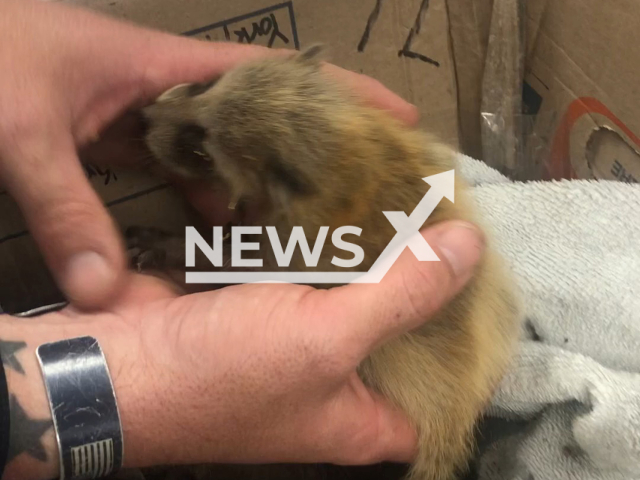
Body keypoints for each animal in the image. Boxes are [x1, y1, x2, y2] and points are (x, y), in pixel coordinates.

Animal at [131, 46, 524, 480]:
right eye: (205, 84)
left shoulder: (295, 244)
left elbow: (237, 259)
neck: (343, 160)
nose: (141, 116)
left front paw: (176, 246)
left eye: (200, 150)